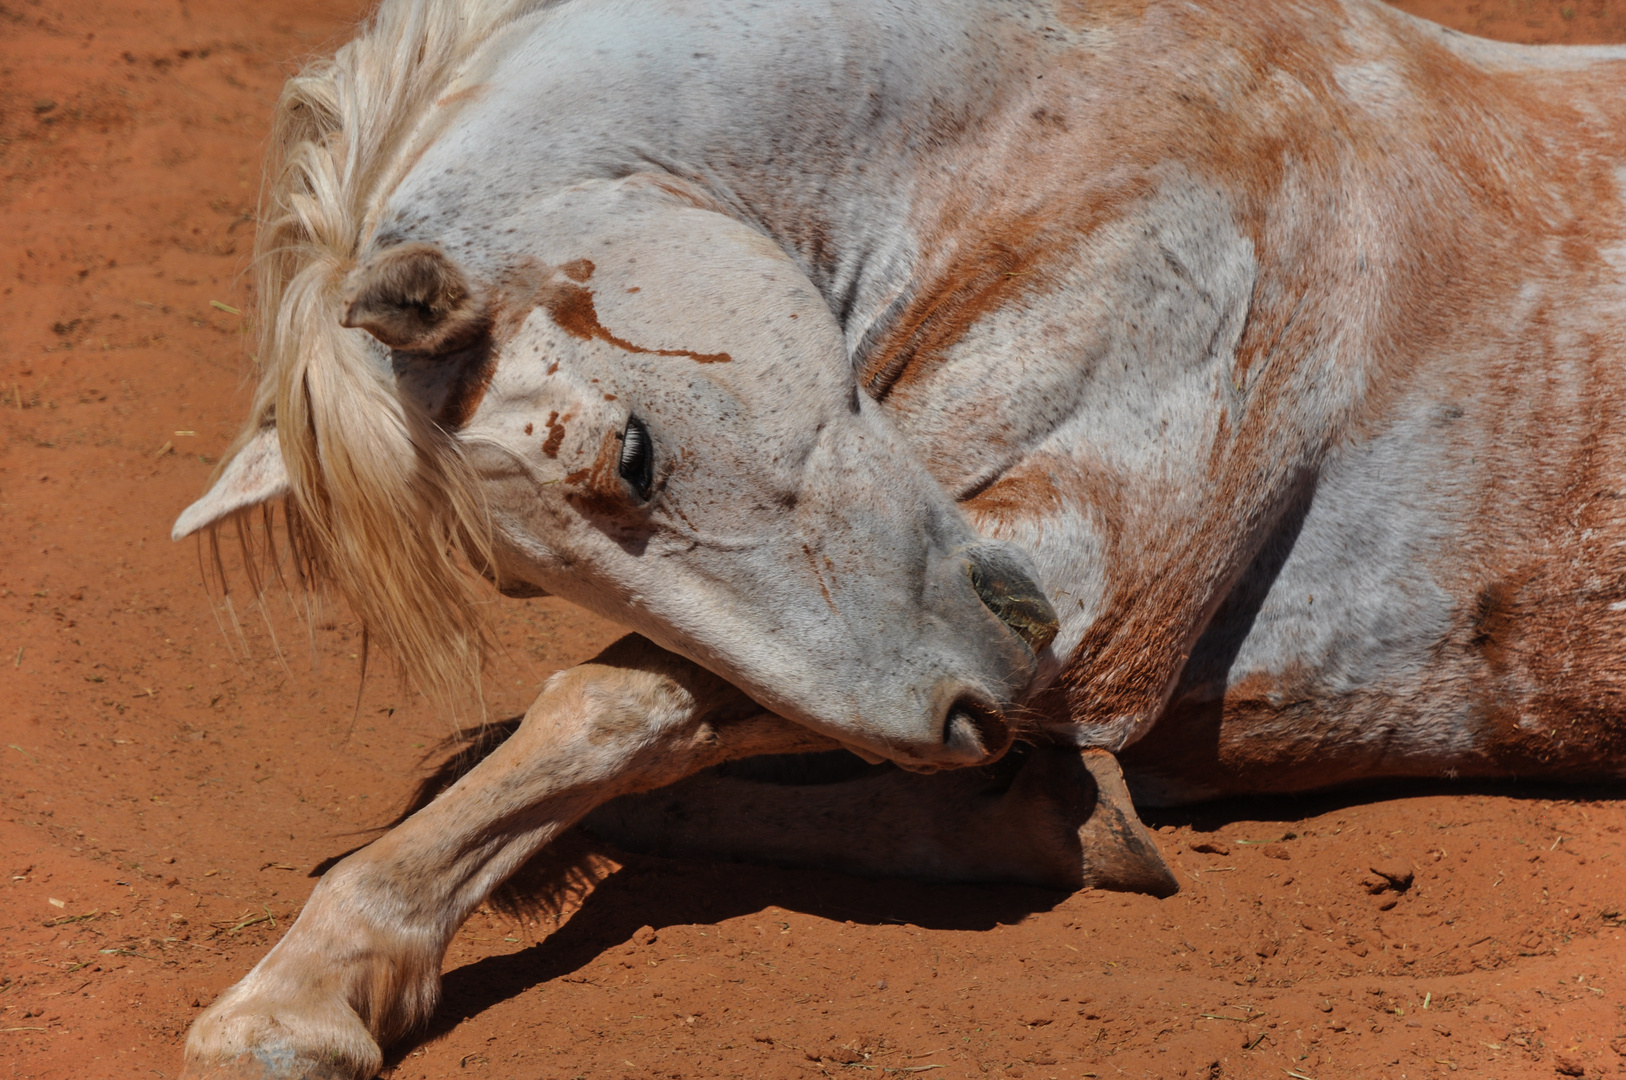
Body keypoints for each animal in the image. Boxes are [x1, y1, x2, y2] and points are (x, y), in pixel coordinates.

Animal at [171, 0, 1626, 1073]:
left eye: (630, 454)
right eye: (510, 574)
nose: (964, 708)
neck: (1065, 126)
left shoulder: (1107, 589)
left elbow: (608, 705)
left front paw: (305, 988)